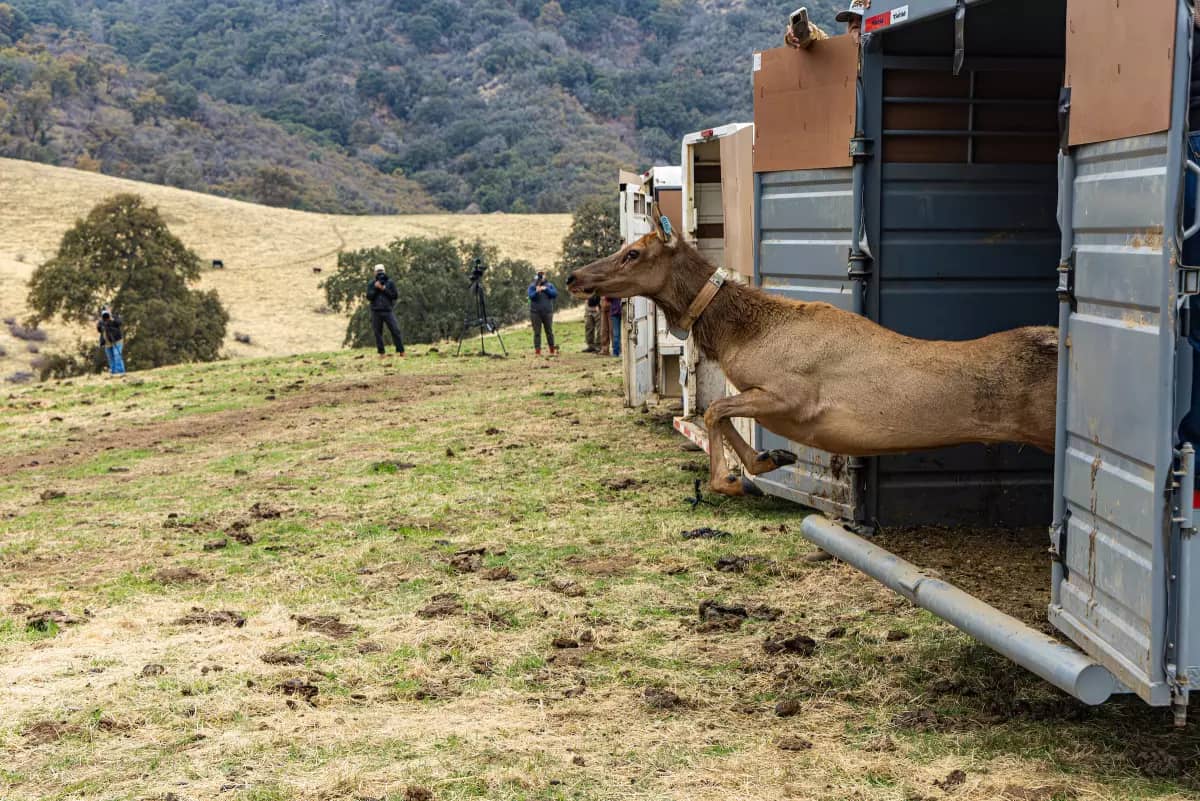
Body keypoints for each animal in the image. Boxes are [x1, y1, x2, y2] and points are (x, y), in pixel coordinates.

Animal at [566, 213, 1058, 498]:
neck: (737, 335)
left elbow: (715, 410)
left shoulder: (792, 397)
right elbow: (722, 413)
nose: (574, 277)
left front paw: (729, 478)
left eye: (633, 253)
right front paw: (767, 460)